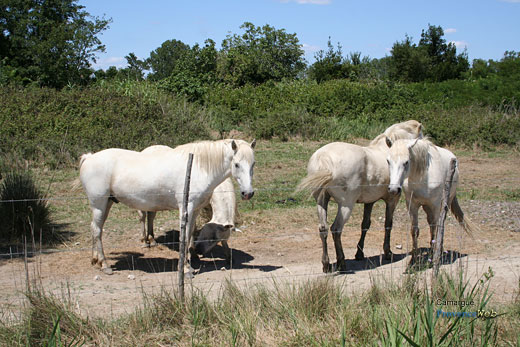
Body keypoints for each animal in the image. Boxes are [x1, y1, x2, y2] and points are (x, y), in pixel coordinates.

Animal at [78, 140, 255, 276]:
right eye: (237, 164)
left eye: (253, 164)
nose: (248, 193)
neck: (198, 167)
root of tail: (90, 157)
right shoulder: (186, 209)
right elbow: (184, 237)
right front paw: (186, 269)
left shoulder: (196, 210)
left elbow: (189, 234)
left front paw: (189, 264)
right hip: (99, 205)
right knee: (97, 230)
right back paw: (105, 264)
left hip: (107, 203)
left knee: (97, 229)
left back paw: (96, 261)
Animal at [296, 121, 422, 274]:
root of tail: (324, 158)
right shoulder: (392, 200)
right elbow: (388, 224)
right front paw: (387, 252)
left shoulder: (370, 201)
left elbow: (365, 225)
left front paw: (359, 253)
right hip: (346, 206)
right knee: (336, 229)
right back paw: (341, 263)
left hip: (321, 202)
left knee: (323, 229)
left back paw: (326, 264)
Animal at [384, 137, 474, 266]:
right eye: (388, 161)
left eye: (406, 162)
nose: (393, 189)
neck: (422, 178)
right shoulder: (412, 205)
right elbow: (414, 231)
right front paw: (413, 260)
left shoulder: (435, 205)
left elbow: (435, 228)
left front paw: (433, 257)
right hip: (427, 207)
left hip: (445, 202)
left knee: (440, 224)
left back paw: (439, 249)